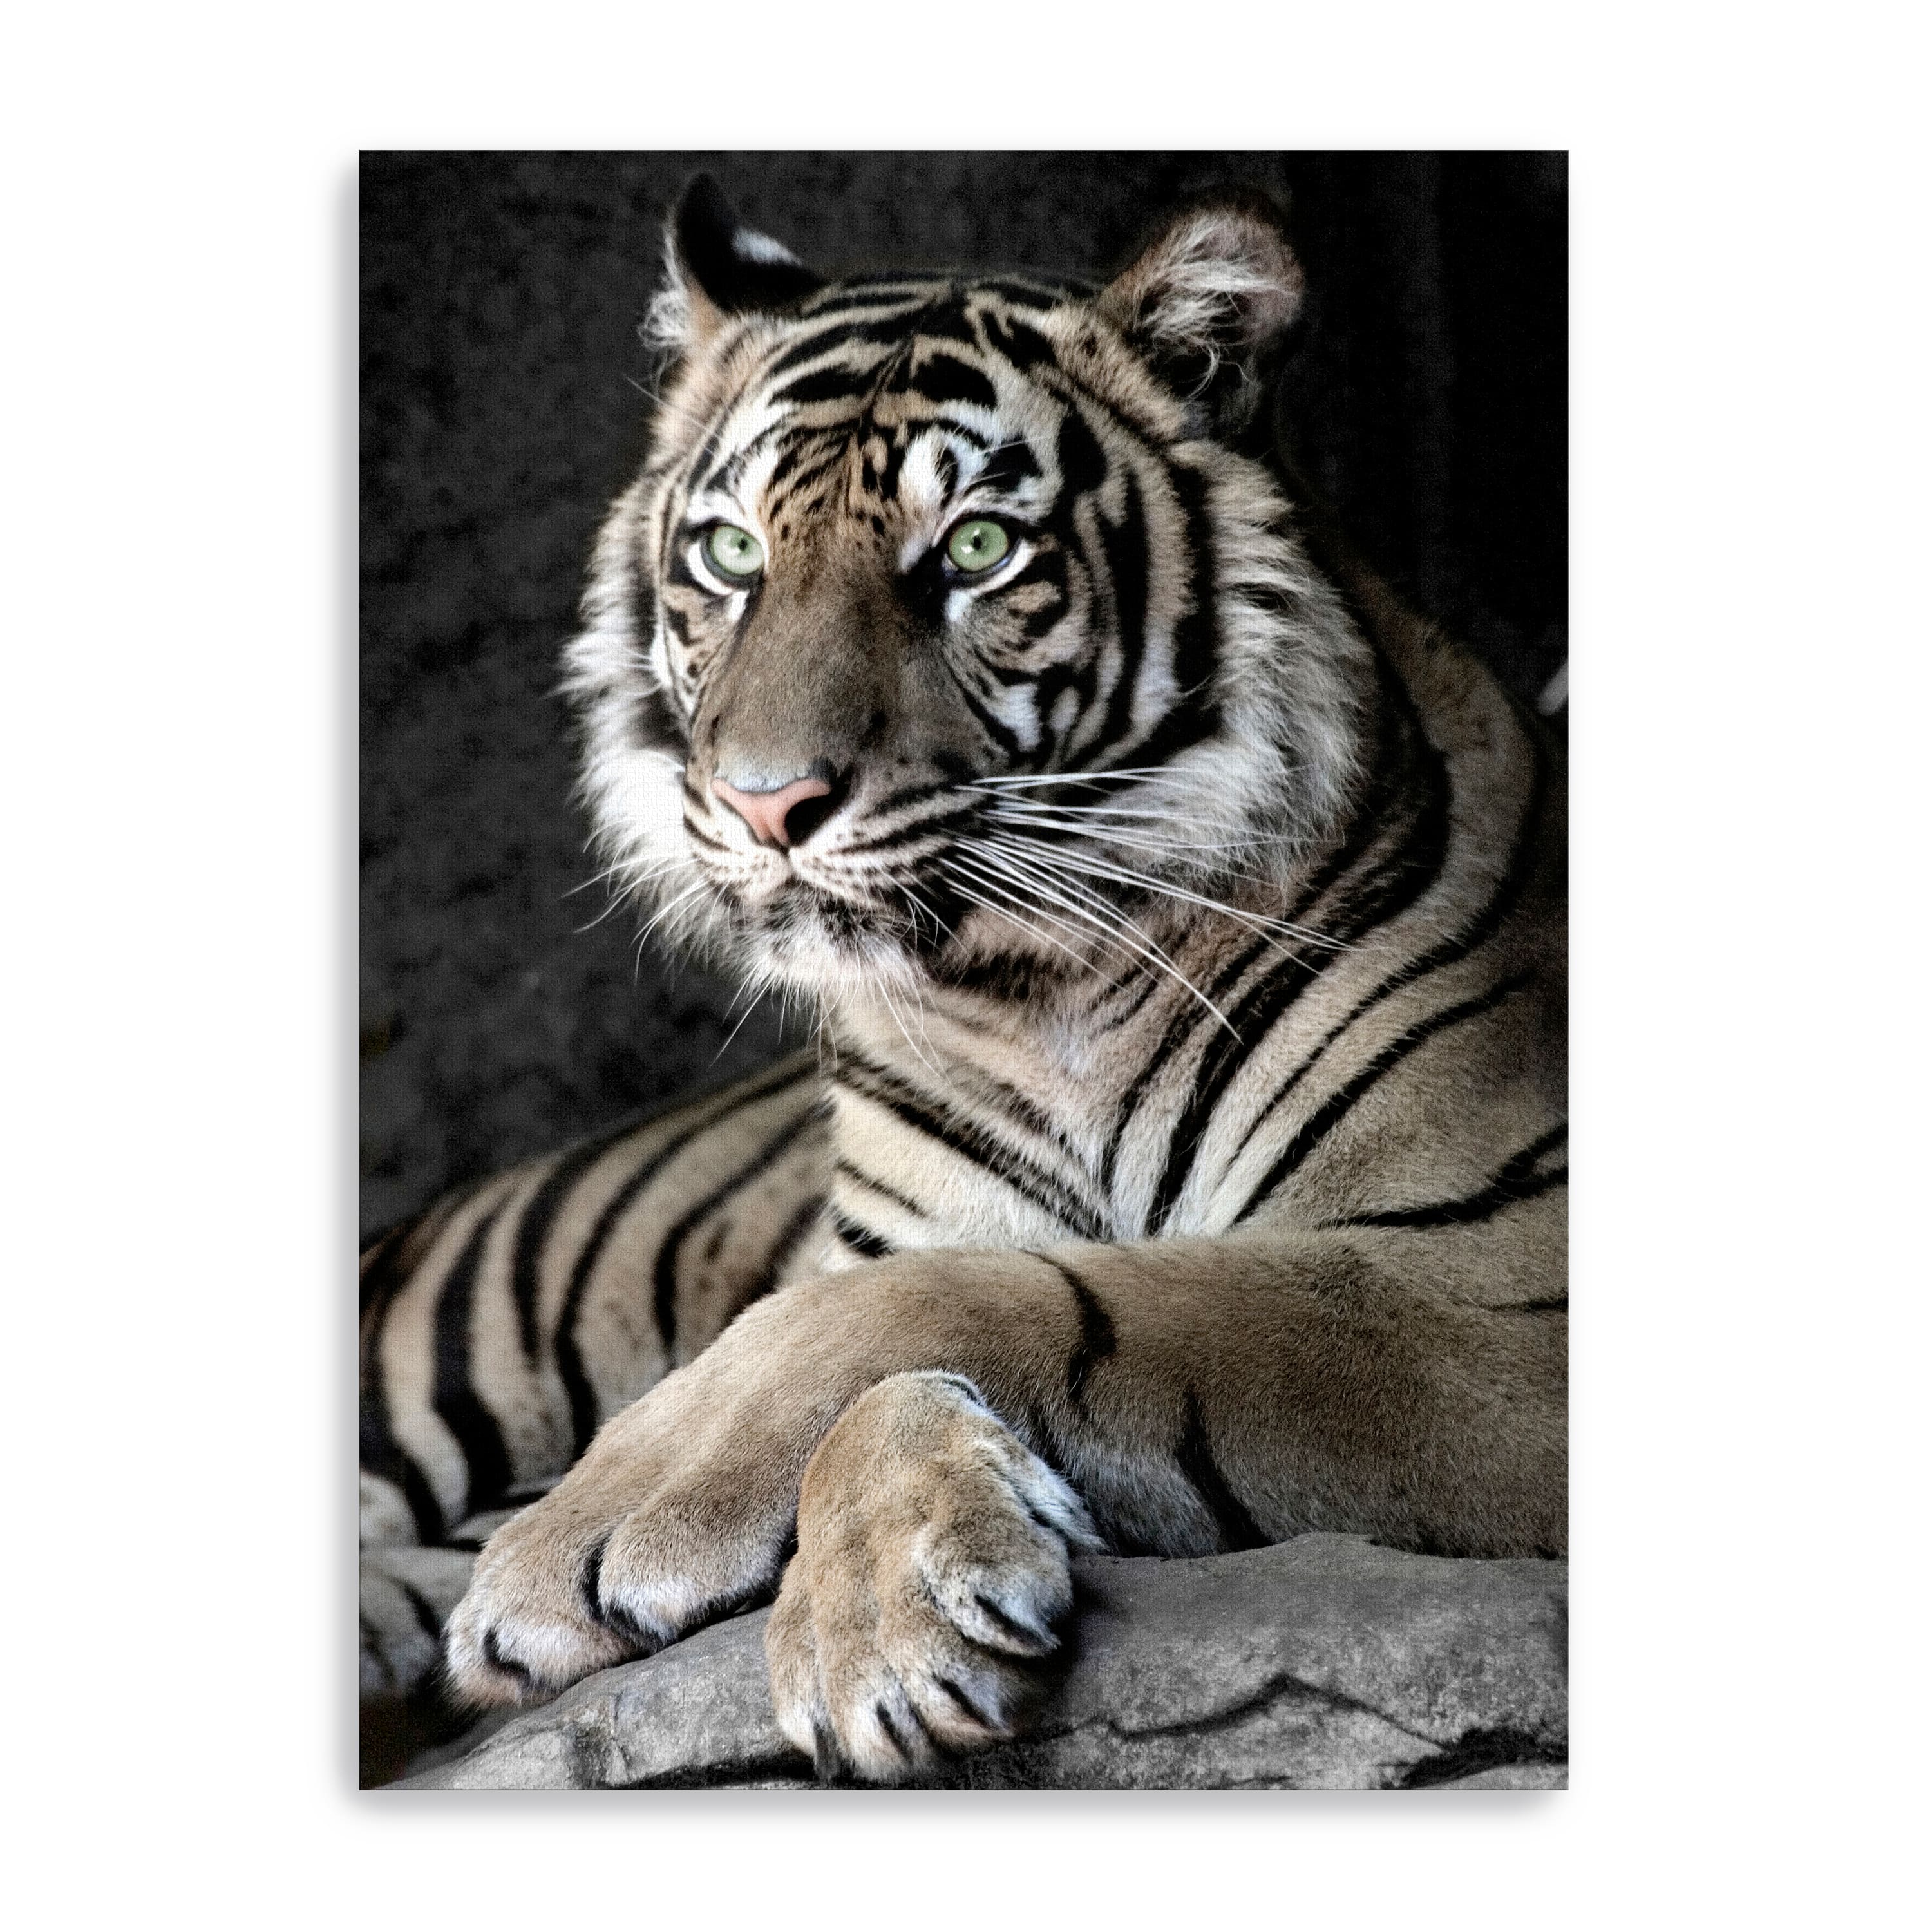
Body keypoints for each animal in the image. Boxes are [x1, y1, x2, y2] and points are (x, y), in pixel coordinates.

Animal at [359, 173, 1566, 1787]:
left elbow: (1029, 1302)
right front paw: (875, 1620)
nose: (765, 805)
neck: (1038, 999)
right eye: (731, 556)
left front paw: (652, 1539)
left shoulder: (1513, 1287)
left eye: (982, 548)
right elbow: (898, 1316)